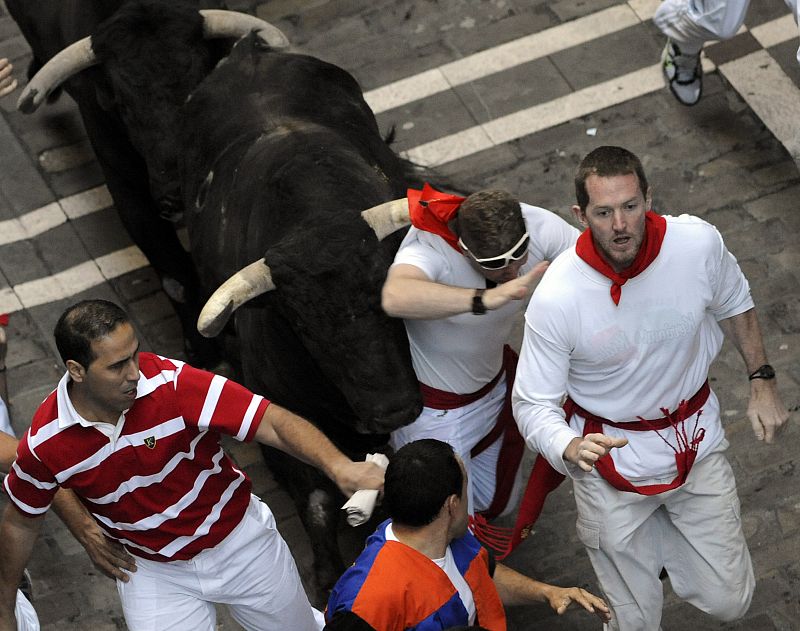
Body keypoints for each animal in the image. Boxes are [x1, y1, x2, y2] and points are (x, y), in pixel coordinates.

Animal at [181, 37, 424, 596]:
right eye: (305, 329)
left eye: (388, 298)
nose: (393, 410)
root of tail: (247, 52)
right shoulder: (280, 422)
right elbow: (315, 503)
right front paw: (328, 575)